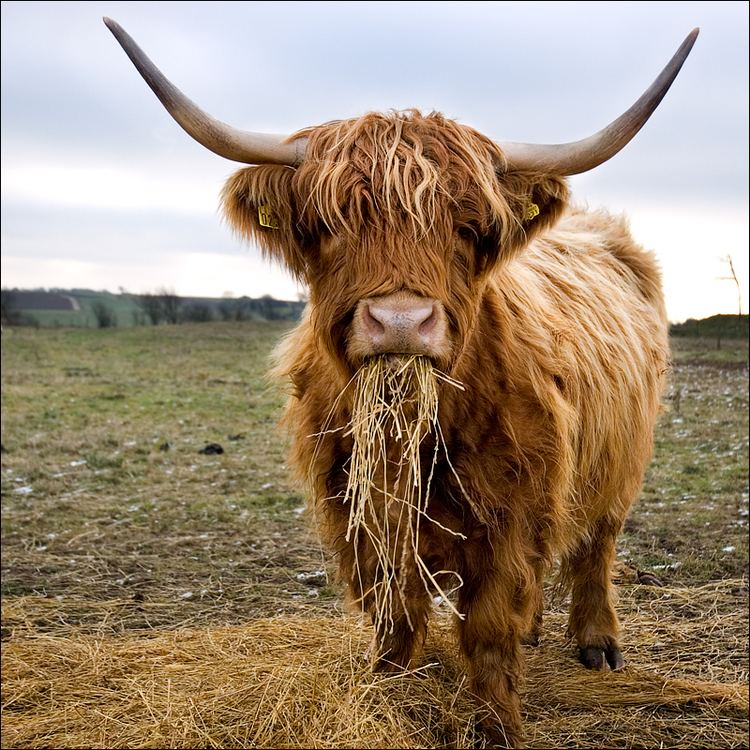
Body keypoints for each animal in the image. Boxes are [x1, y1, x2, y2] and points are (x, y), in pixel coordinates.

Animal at [107, 20, 704, 748]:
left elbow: (490, 627)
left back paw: (598, 642)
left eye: (471, 230)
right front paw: (384, 692)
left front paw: (497, 725)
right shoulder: (355, 507)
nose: (400, 321)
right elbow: (394, 616)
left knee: (597, 545)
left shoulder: (513, 510)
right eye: (329, 225)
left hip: (621, 460)